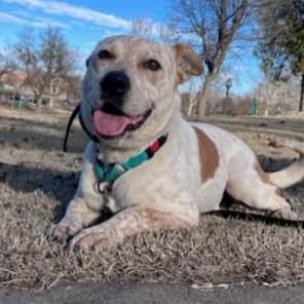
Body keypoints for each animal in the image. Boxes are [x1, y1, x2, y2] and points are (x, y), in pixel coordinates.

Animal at [48, 35, 304, 251]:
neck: (123, 156)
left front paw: (98, 232)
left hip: (245, 185)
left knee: (280, 198)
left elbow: (132, 213)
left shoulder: (182, 212)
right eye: (104, 55)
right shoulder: (84, 201)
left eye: (152, 64)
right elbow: (72, 209)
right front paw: (63, 227)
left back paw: (285, 214)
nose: (113, 82)